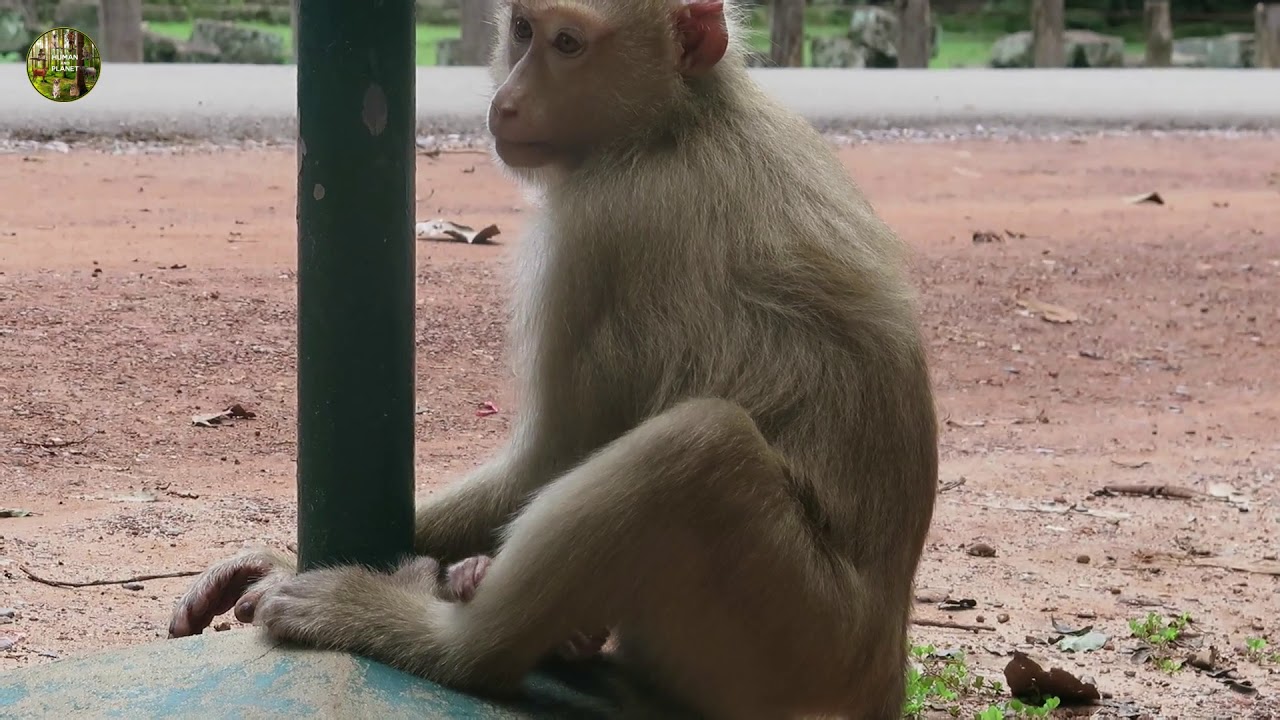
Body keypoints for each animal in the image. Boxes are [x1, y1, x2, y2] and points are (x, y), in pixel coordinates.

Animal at [167, 0, 938, 717]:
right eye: (523, 30)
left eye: (568, 44)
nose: (506, 100)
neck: (678, 118)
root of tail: (883, 666)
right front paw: (277, 557)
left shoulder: (597, 227)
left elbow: (552, 456)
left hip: (798, 640)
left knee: (700, 448)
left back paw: (441, 638)